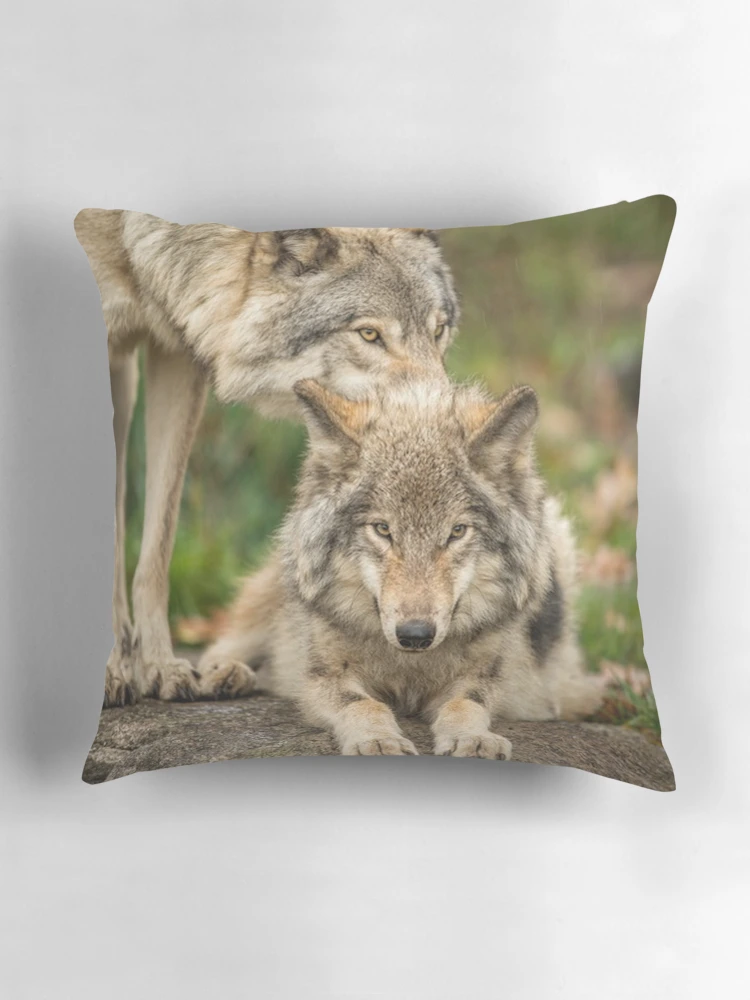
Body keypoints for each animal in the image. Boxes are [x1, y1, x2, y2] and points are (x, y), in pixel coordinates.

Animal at [74, 210, 458, 706]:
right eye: (369, 334)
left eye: (438, 330)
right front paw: (108, 672)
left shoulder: (175, 353)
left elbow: (158, 543)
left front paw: (159, 667)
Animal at [207, 376, 604, 756]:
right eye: (383, 529)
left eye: (457, 532)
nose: (415, 634)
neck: (408, 667)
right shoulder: (323, 677)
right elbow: (364, 705)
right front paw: (378, 741)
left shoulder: (486, 680)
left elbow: (466, 705)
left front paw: (473, 739)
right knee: (230, 643)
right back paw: (221, 675)